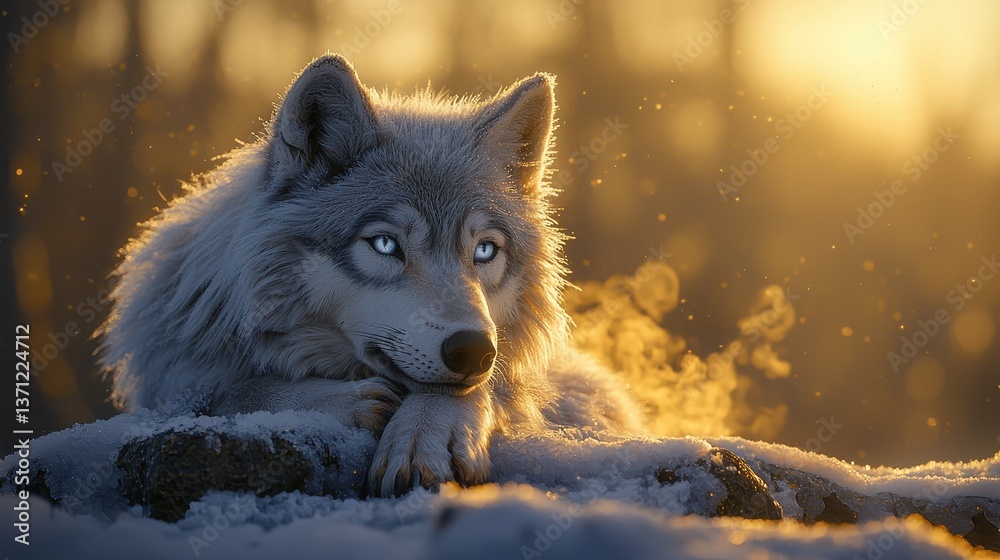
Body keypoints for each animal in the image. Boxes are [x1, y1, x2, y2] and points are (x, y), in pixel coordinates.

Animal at [99, 54, 644, 497]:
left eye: (485, 250)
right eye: (385, 244)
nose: (473, 350)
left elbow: (463, 392)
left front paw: (427, 435)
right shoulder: (176, 374)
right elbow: (229, 391)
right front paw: (338, 401)